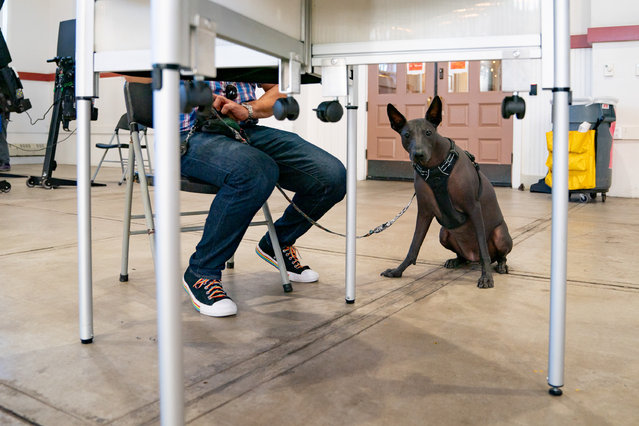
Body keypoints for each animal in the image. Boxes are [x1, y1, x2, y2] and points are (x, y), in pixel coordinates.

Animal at [382, 95, 512, 290]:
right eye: (406, 135)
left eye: (428, 133)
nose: (418, 154)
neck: (434, 168)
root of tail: (471, 256)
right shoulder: (424, 211)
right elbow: (414, 247)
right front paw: (398, 271)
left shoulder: (473, 208)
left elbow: (483, 249)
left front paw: (486, 277)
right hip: (444, 233)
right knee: (463, 256)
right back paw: (456, 260)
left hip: (500, 234)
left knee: (498, 256)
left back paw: (501, 265)